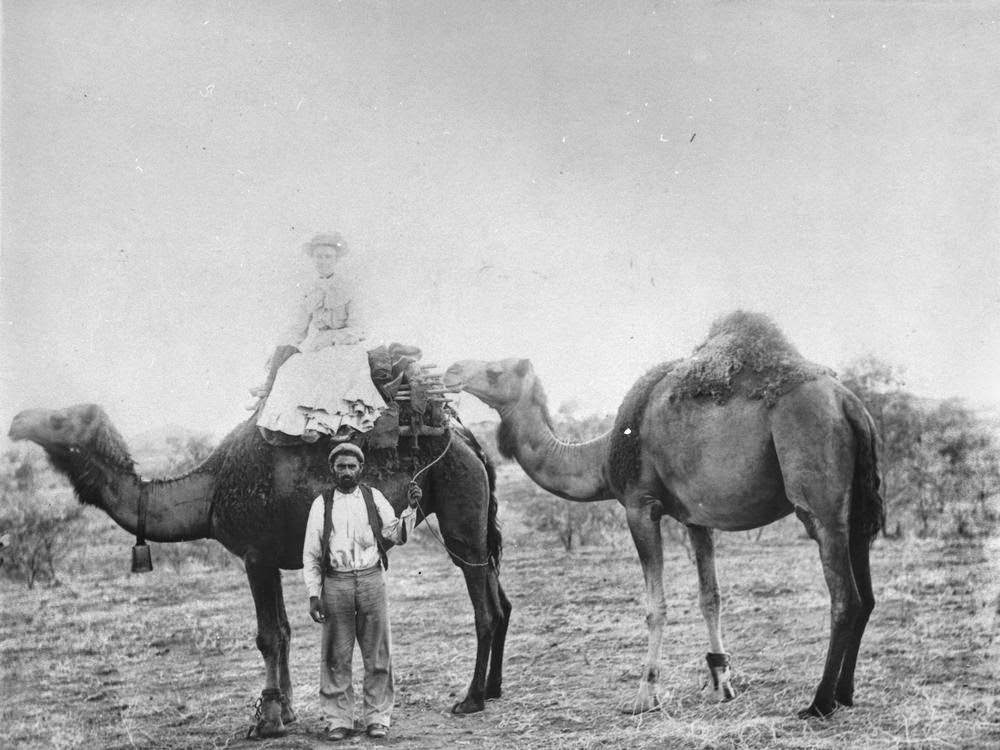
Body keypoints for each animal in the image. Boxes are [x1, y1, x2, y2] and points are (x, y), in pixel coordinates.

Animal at [11, 408, 516, 736]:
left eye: (58, 419)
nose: (17, 421)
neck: (210, 491)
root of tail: (469, 442)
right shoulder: (270, 557)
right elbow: (286, 632)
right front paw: (287, 713)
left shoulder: (253, 554)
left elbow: (268, 636)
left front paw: (268, 721)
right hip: (475, 522)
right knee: (502, 598)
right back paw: (493, 690)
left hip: (460, 510)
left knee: (485, 607)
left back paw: (470, 699)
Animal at [446, 312, 884, 724]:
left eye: (495, 371)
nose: (451, 371)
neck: (601, 456)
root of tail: (850, 405)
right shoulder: (696, 517)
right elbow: (711, 597)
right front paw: (721, 686)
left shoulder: (640, 506)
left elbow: (655, 606)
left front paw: (645, 696)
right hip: (857, 511)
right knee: (865, 596)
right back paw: (845, 694)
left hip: (819, 497)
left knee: (844, 597)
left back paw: (820, 702)